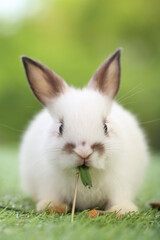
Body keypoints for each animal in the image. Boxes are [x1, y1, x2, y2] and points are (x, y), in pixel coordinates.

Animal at [20, 49, 149, 216]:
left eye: (105, 127)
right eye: (60, 128)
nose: (84, 152)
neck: (89, 174)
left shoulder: (121, 183)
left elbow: (119, 198)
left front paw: (123, 210)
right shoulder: (48, 182)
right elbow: (51, 196)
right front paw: (53, 207)